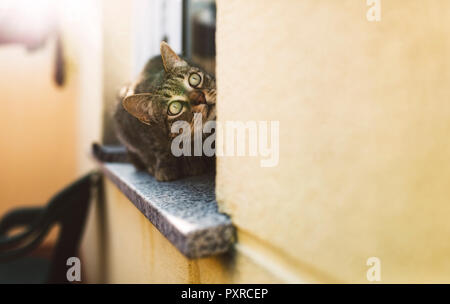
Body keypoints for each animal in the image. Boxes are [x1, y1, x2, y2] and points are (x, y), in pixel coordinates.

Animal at [114, 41, 216, 182]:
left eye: (194, 79)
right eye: (174, 108)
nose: (201, 97)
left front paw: (194, 162)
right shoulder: (144, 132)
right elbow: (158, 148)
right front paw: (165, 167)